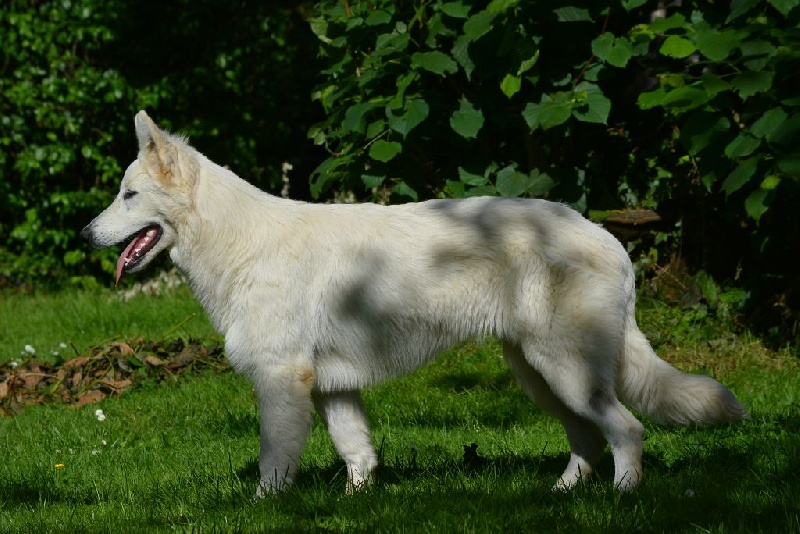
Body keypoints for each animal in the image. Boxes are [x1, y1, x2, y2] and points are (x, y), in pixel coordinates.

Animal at [81, 113, 744, 498]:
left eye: (129, 195)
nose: (86, 235)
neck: (238, 242)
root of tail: (608, 239)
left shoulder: (280, 380)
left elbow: (274, 462)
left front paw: (268, 508)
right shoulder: (332, 390)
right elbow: (358, 453)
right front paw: (356, 504)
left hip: (567, 371)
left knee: (627, 430)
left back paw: (622, 496)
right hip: (539, 374)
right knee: (587, 438)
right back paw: (561, 496)